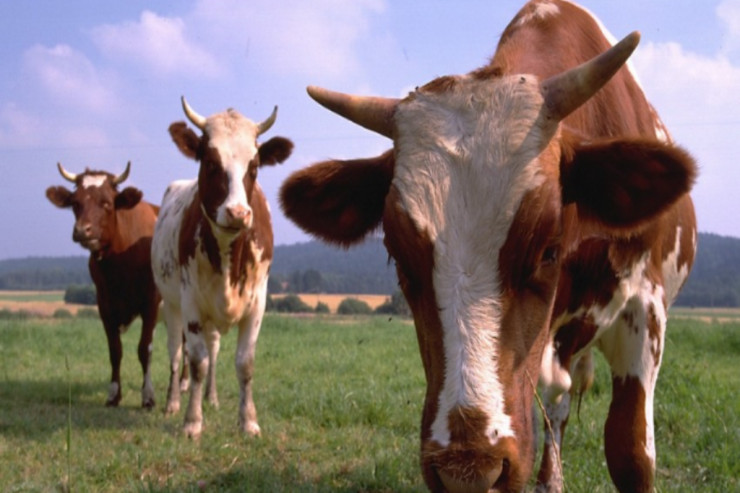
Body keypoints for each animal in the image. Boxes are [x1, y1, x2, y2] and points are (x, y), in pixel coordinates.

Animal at [47, 161, 163, 408]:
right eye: (75, 203)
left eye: (107, 202)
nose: (83, 230)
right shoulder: (104, 304)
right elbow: (115, 351)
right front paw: (113, 395)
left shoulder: (151, 302)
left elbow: (145, 349)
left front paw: (148, 396)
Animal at [152, 97, 294, 438]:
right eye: (210, 163)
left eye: (254, 167)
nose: (238, 212)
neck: (229, 255)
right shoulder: (190, 303)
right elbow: (197, 362)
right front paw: (192, 421)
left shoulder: (257, 303)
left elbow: (244, 363)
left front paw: (249, 421)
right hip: (171, 305)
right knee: (176, 353)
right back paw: (173, 402)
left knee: (214, 351)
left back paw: (212, 397)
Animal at [278, 1, 700, 490]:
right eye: (399, 257)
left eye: (549, 249)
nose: (469, 472)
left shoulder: (646, 309)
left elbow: (630, 452)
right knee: (556, 405)